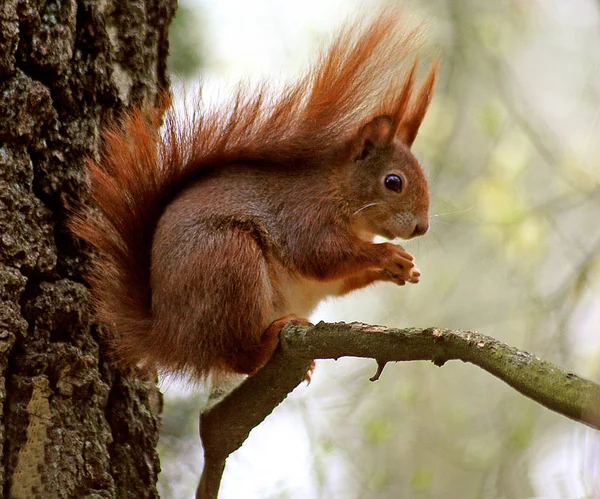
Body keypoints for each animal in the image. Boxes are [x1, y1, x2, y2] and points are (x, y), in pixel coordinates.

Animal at [70, 11, 438, 380]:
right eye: (393, 182)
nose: (422, 227)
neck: (341, 191)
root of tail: (169, 337)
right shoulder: (304, 212)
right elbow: (319, 255)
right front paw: (387, 254)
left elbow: (338, 280)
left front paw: (401, 269)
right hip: (231, 262)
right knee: (238, 358)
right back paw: (268, 341)